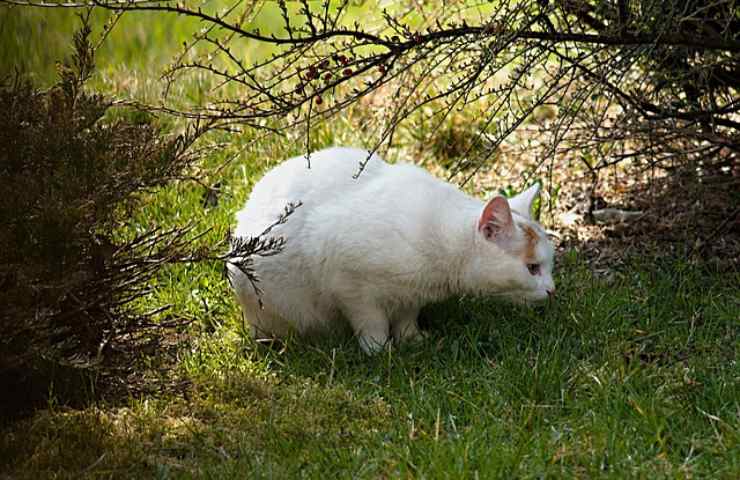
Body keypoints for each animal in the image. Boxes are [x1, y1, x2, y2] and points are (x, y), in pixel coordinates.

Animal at [230, 148, 556, 354]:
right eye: (532, 268)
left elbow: (406, 317)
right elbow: (371, 322)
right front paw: (380, 351)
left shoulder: (411, 295)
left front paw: (413, 340)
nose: (553, 290)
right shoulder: (350, 285)